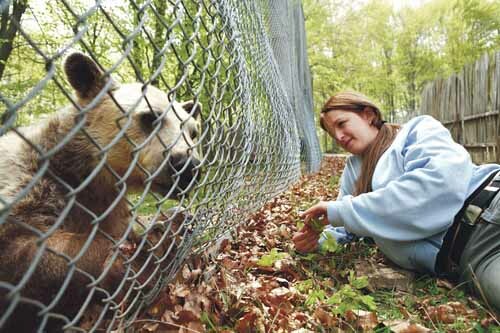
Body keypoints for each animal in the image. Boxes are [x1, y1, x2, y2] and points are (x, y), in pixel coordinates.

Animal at [0, 53, 201, 330]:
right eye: (150, 117)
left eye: (193, 131)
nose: (187, 165)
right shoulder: (27, 183)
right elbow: (24, 248)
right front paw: (141, 254)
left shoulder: (107, 204)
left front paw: (172, 222)